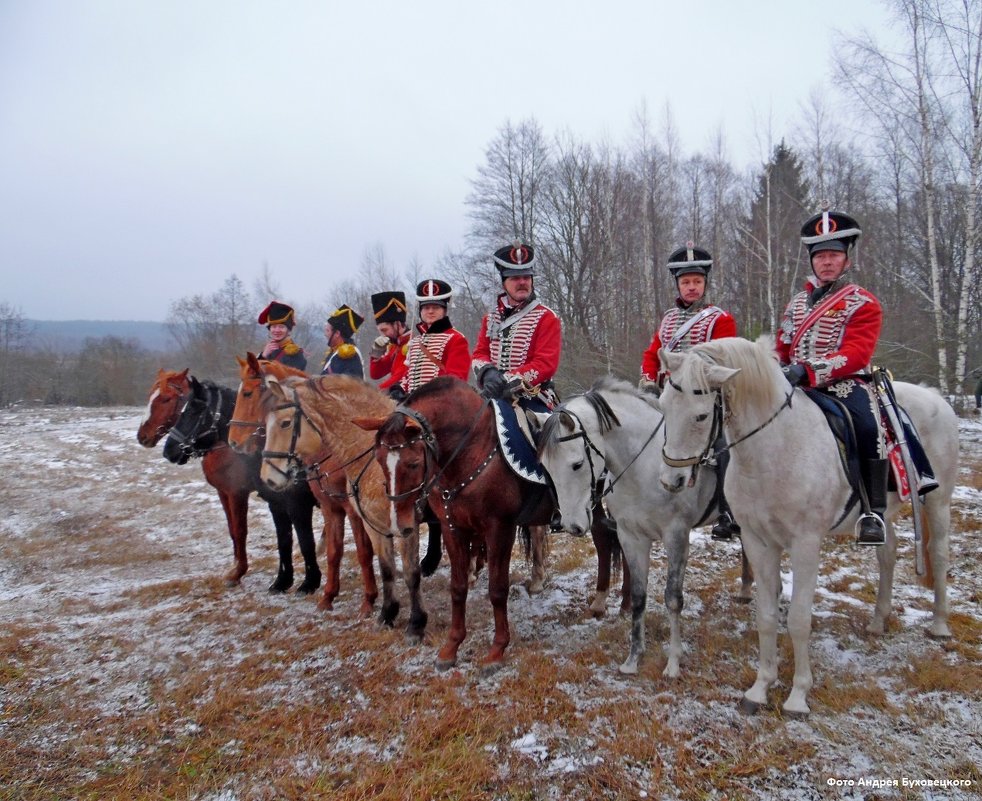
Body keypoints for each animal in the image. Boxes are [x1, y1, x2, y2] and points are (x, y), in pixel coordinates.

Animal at [160, 376, 322, 592]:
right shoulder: (275, 505)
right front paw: (282, 581)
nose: (168, 451)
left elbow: (304, 541)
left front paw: (310, 582)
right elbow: (283, 540)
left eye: (194, 411)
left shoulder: (296, 504)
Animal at [228, 354, 380, 616]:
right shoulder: (314, 506)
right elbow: (319, 548)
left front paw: (367, 599)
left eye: (247, 393)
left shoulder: (337, 509)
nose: (233, 442)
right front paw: (319, 592)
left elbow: (359, 551)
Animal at [362, 376, 560, 668]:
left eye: (413, 463)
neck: (471, 450)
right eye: (378, 459)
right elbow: (457, 588)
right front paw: (451, 648)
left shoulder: (499, 529)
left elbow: (497, 590)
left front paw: (497, 650)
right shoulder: (453, 528)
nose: (400, 525)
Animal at [540, 378, 744, 680]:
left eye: (576, 464)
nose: (572, 525)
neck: (645, 466)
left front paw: (673, 663)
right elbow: (638, 597)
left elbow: (673, 598)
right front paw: (633, 658)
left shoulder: (677, 536)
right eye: (546, 468)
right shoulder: (631, 537)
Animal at [656, 334, 956, 716]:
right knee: (886, 556)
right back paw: (878, 621)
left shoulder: (806, 543)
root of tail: (934, 396)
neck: (774, 448)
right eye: (663, 407)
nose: (671, 481)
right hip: (884, 514)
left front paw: (798, 695)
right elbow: (767, 616)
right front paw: (760, 688)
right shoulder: (757, 541)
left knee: (940, 554)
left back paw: (939, 624)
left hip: (938, 501)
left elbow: (798, 619)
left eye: (701, 414)